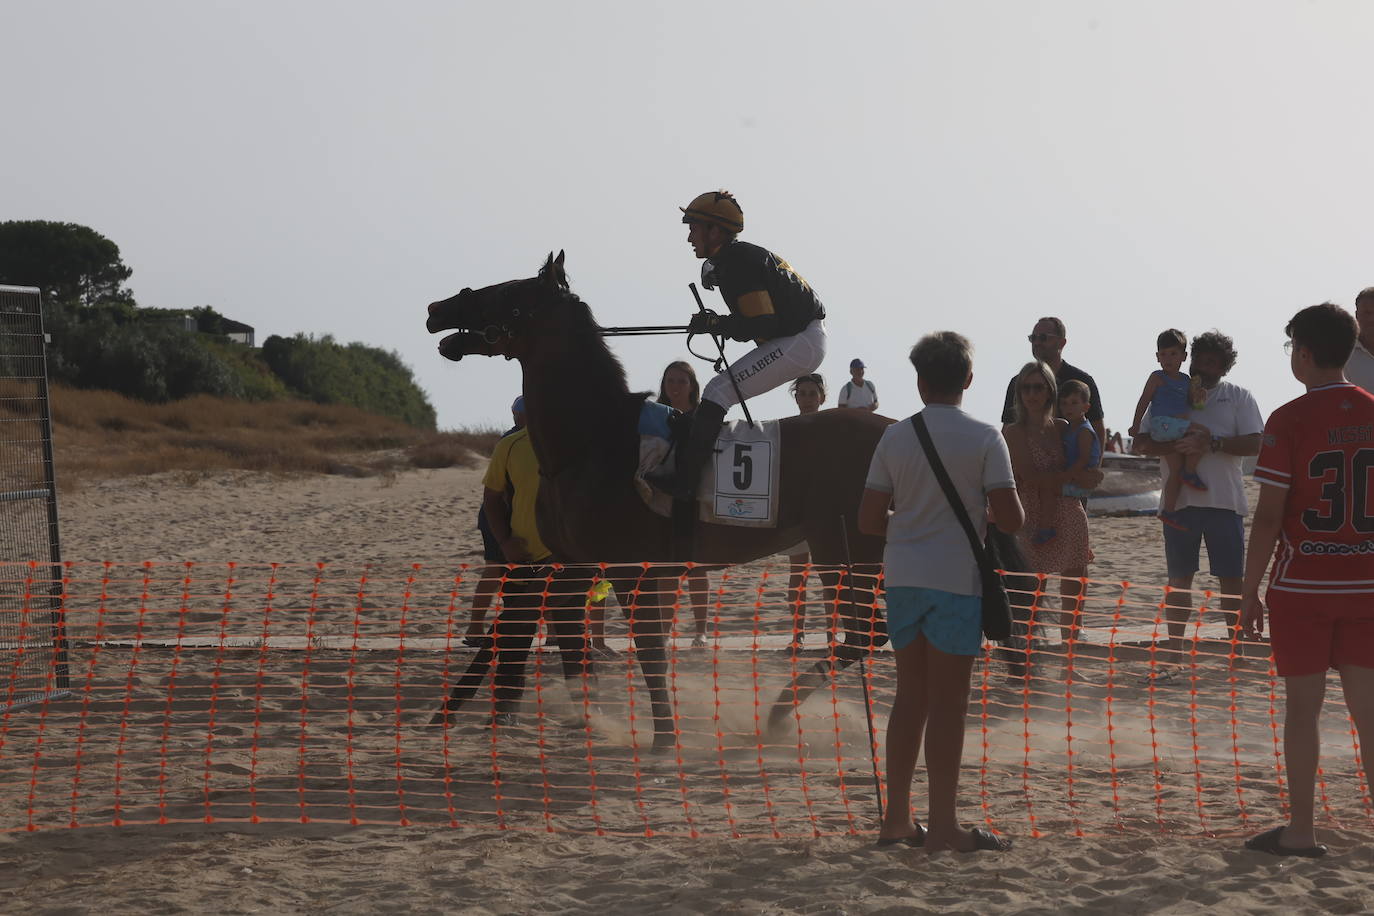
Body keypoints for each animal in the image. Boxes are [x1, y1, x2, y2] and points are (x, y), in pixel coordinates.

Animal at [425, 251, 894, 747]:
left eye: (510, 293)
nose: (437, 308)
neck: (592, 439)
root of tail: (895, 429)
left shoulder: (628, 568)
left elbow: (649, 649)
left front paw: (664, 738)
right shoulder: (573, 562)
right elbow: (545, 631)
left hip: (842, 551)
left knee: (865, 634)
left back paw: (780, 713)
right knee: (869, 634)